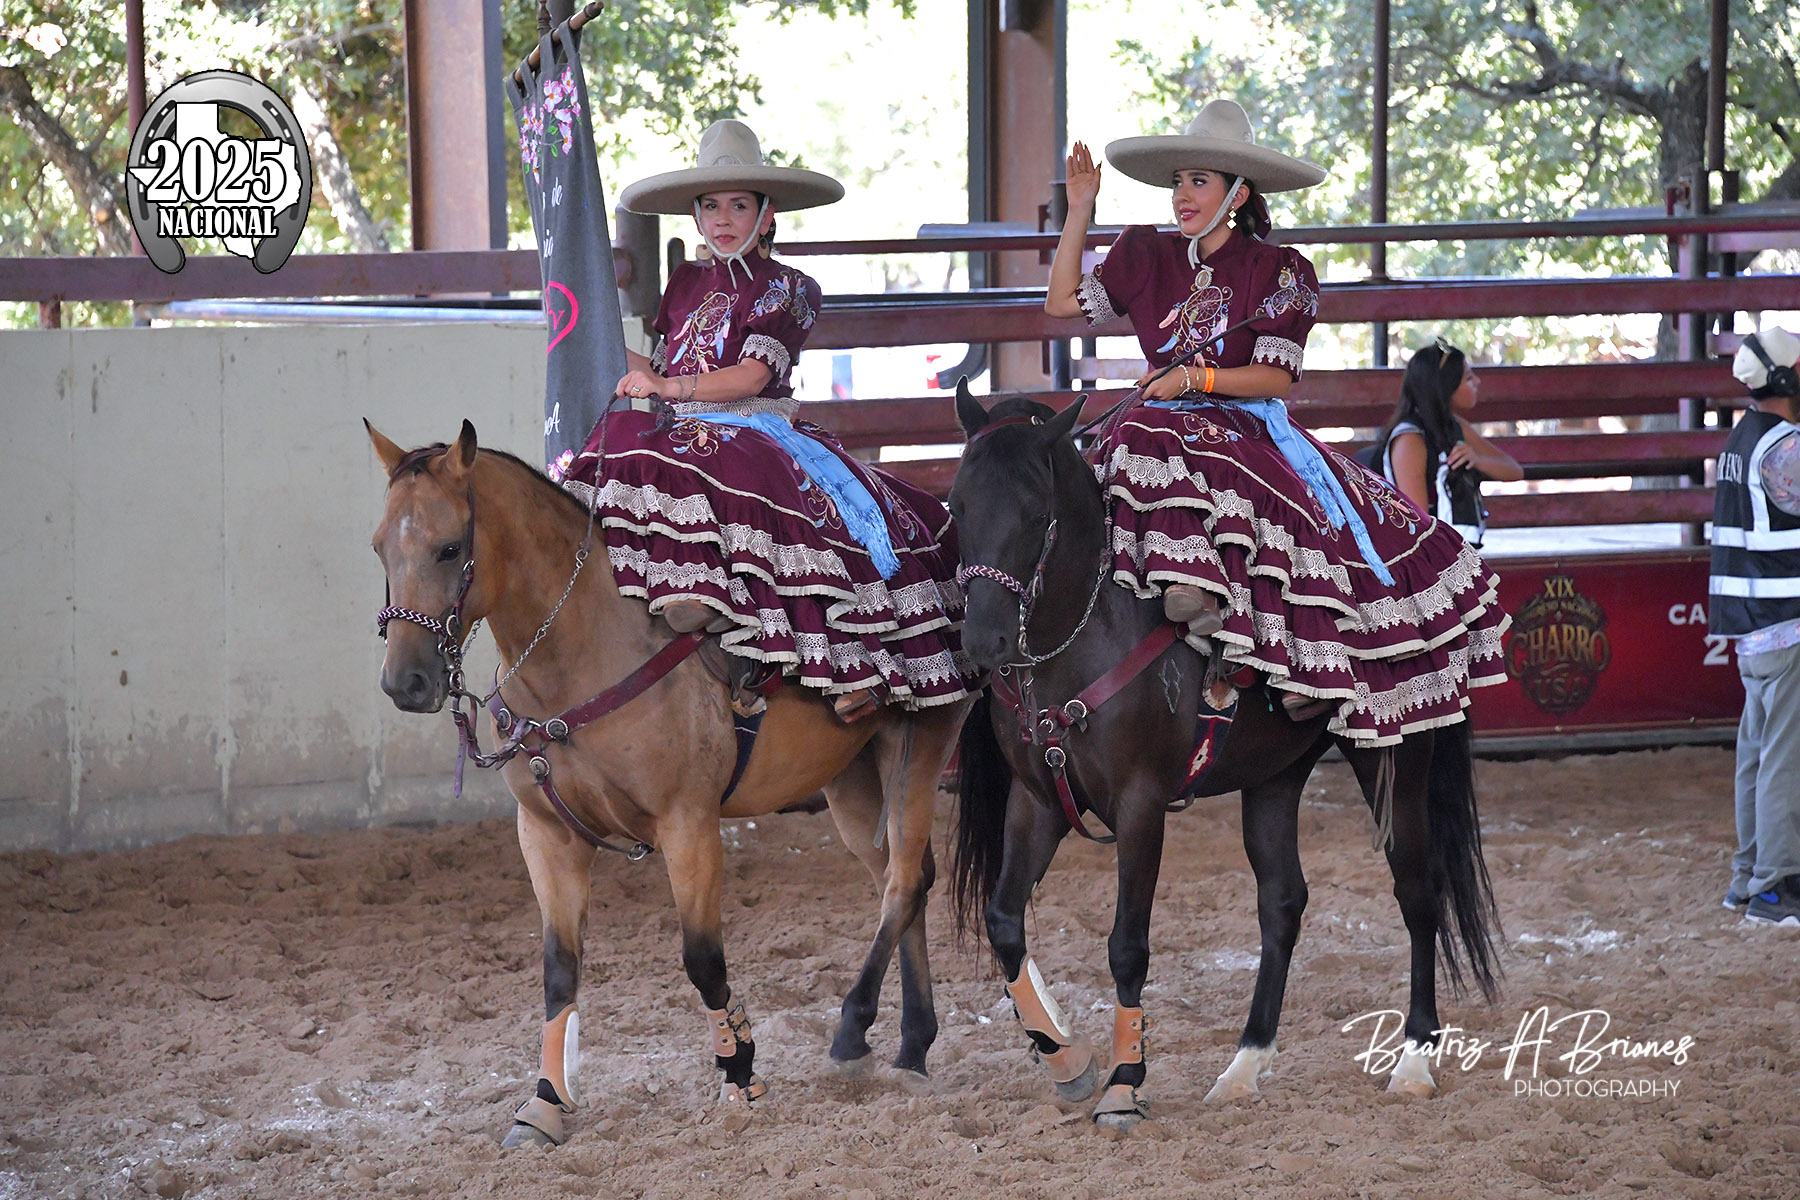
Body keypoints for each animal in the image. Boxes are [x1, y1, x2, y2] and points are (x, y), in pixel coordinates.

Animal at [367, 420, 972, 1147]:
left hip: (924, 740)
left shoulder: (689, 825)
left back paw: (854, 1031)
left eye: (450, 547)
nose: (405, 683)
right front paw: (544, 1103)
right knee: (904, 881)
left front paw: (739, 1070)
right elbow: (559, 968)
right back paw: (912, 1045)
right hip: (853, 782)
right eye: (379, 547)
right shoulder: (545, 834)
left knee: (904, 881)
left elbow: (703, 959)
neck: (586, 648)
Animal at [945, 387, 1500, 1129]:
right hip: (1276, 776)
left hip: (1397, 752)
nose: (986, 639)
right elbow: (1005, 922)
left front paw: (1124, 1083)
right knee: (1283, 902)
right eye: (957, 506)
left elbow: (1127, 944)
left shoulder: (1141, 804)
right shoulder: (1037, 801)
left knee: (1419, 892)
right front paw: (1069, 1061)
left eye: (1038, 512)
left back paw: (1413, 1062)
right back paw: (1244, 1066)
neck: (1087, 629)